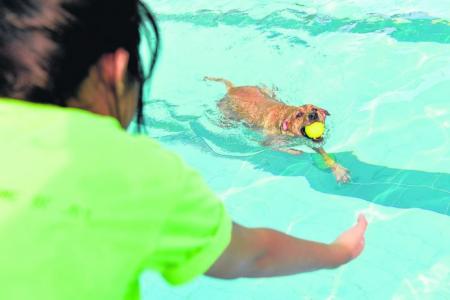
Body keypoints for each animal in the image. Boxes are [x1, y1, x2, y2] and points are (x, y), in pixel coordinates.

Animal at [206, 76, 350, 183]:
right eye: (299, 115)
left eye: (314, 108)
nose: (313, 115)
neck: (285, 117)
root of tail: (233, 88)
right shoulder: (267, 142)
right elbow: (280, 148)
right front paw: (296, 152)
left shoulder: (312, 142)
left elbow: (325, 154)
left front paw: (339, 170)